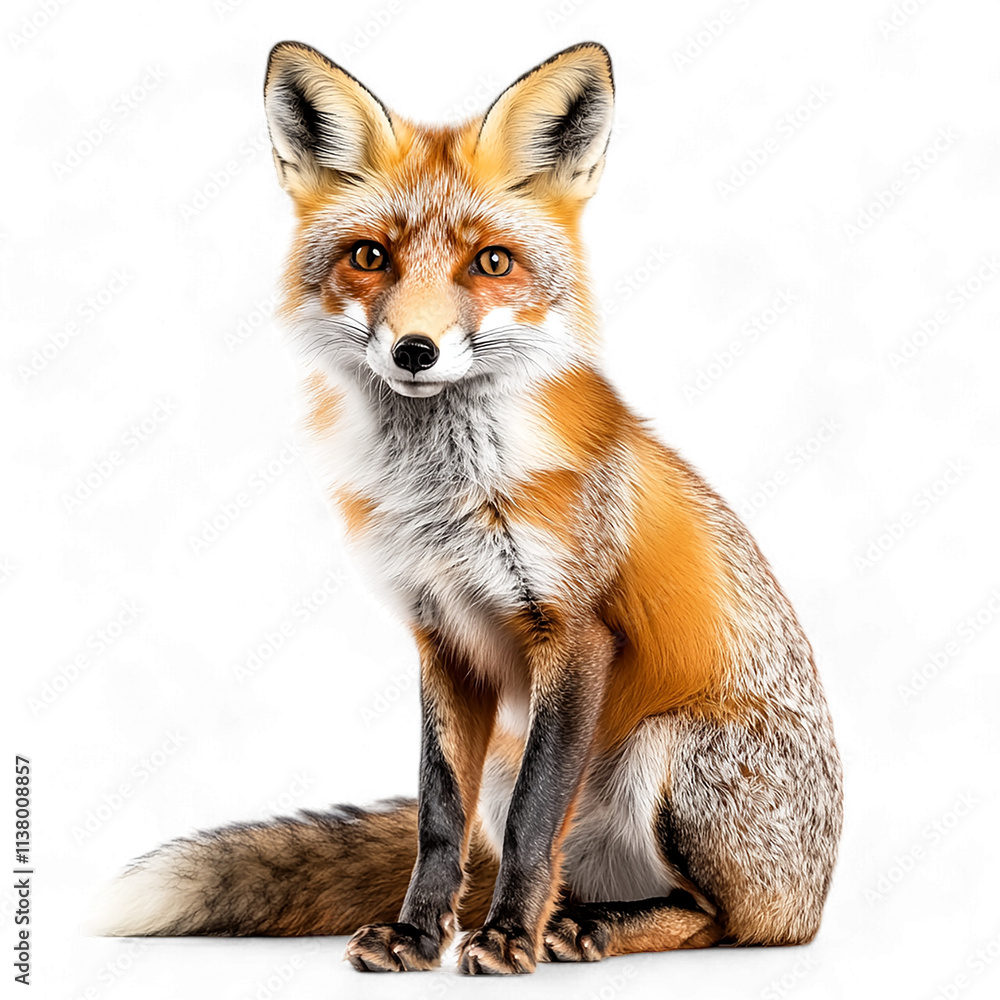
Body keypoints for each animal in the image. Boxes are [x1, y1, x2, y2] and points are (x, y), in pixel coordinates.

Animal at [93, 41, 843, 975]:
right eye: (370, 256)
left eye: (491, 263)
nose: (416, 349)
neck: (443, 497)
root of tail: (817, 892)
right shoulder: (442, 637)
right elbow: (437, 817)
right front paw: (420, 935)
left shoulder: (573, 631)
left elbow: (531, 825)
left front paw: (507, 938)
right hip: (521, 762)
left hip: (676, 754)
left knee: (724, 921)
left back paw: (590, 928)